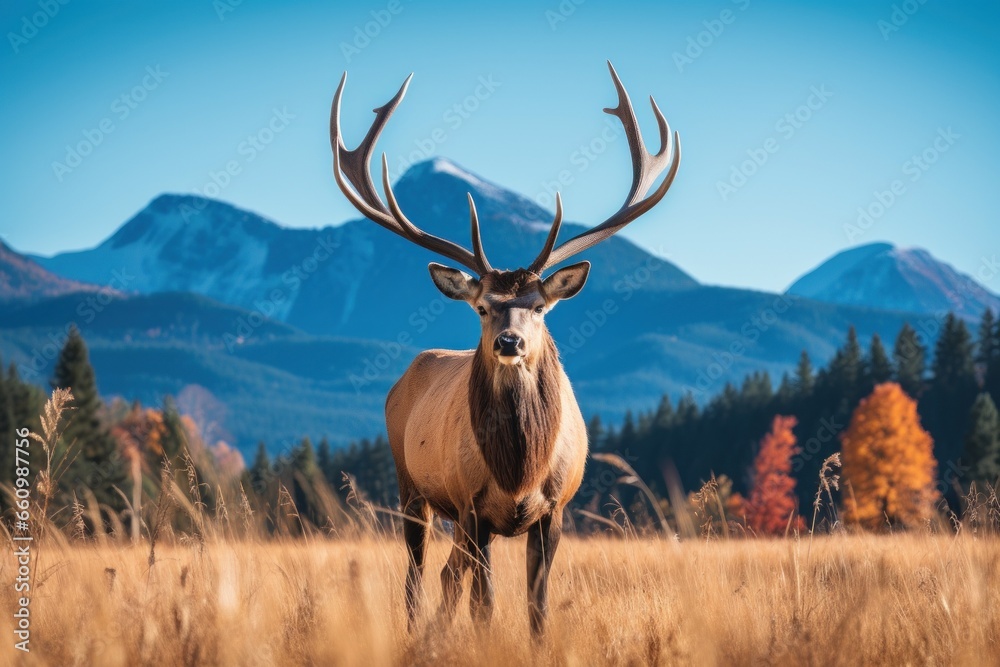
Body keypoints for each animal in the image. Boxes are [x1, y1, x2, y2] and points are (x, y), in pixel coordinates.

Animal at [329, 61, 680, 636]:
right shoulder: (473, 506)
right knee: (418, 576)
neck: (519, 472)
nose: (509, 341)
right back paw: (415, 631)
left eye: (539, 306)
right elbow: (486, 604)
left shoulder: (554, 511)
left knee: (448, 575)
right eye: (481, 306)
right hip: (413, 489)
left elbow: (536, 607)